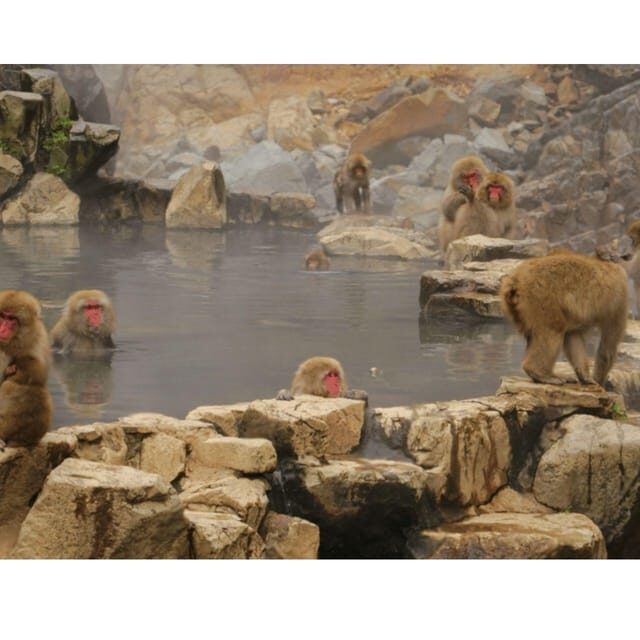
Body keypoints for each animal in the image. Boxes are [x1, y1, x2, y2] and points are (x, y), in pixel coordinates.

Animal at [500, 251, 628, 387]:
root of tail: (514, 279)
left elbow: (573, 336)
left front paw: (586, 377)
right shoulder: (619, 298)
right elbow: (607, 347)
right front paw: (598, 380)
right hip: (541, 295)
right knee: (553, 329)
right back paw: (542, 374)